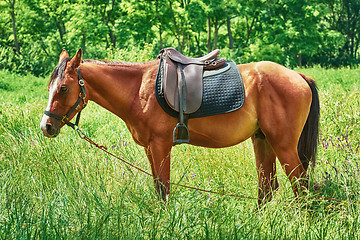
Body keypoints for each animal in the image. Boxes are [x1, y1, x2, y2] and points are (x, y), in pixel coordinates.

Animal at [40, 48, 320, 204]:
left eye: (63, 88)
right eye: (49, 87)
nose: (46, 126)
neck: (137, 89)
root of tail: (298, 76)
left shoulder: (161, 145)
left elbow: (164, 189)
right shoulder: (150, 149)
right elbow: (158, 188)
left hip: (283, 146)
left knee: (300, 185)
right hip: (262, 140)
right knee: (267, 188)